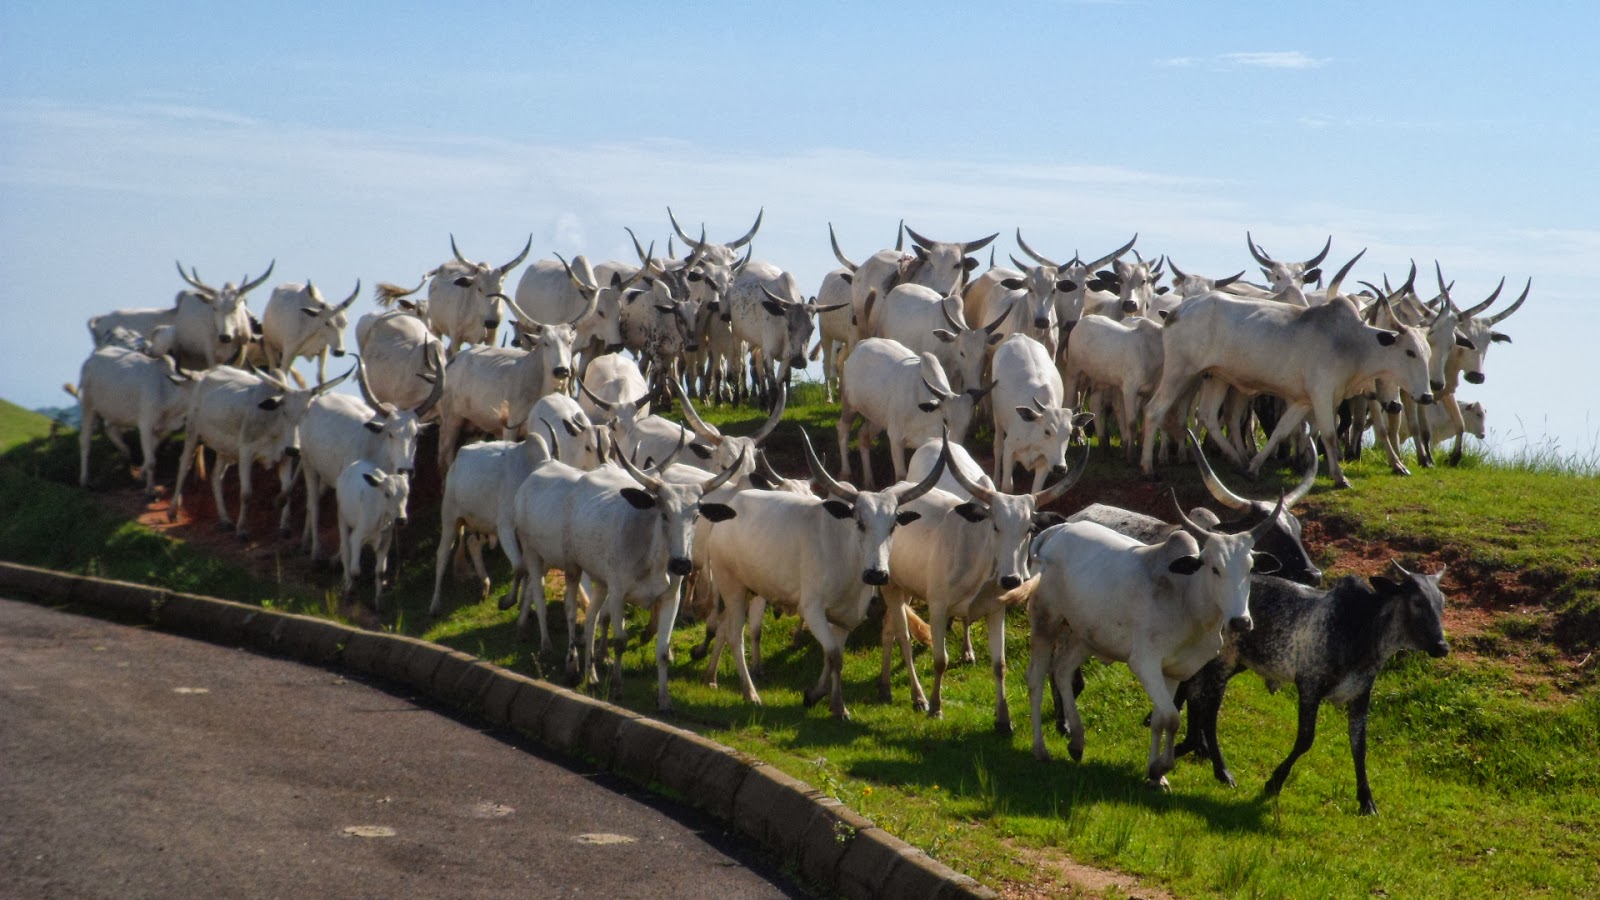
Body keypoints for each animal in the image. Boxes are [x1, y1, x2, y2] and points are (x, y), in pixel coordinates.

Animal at [74, 347, 197, 493]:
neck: (166, 390)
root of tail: (90, 360)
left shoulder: (160, 430)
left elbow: (151, 456)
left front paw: (142, 479)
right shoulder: (145, 425)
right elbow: (151, 461)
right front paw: (150, 489)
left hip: (115, 412)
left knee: (110, 429)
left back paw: (126, 454)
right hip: (88, 406)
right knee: (85, 440)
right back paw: (84, 480)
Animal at [697, 432, 940, 717]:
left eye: (893, 526)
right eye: (860, 522)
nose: (877, 575)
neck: (846, 560)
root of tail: (733, 504)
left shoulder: (846, 618)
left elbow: (833, 656)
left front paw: (820, 696)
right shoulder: (812, 609)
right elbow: (834, 654)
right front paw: (836, 705)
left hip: (748, 589)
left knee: (725, 627)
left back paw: (711, 677)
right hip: (731, 585)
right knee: (735, 635)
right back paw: (750, 692)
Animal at [1177, 560, 1452, 813]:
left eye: (1442, 602)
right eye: (1417, 601)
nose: (1442, 646)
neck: (1361, 628)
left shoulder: (1361, 695)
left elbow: (1359, 747)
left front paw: (1367, 801)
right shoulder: (1310, 686)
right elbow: (1305, 739)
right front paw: (1274, 782)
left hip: (1231, 662)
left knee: (1191, 692)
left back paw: (1191, 745)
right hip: (1223, 661)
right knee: (1208, 711)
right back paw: (1221, 770)